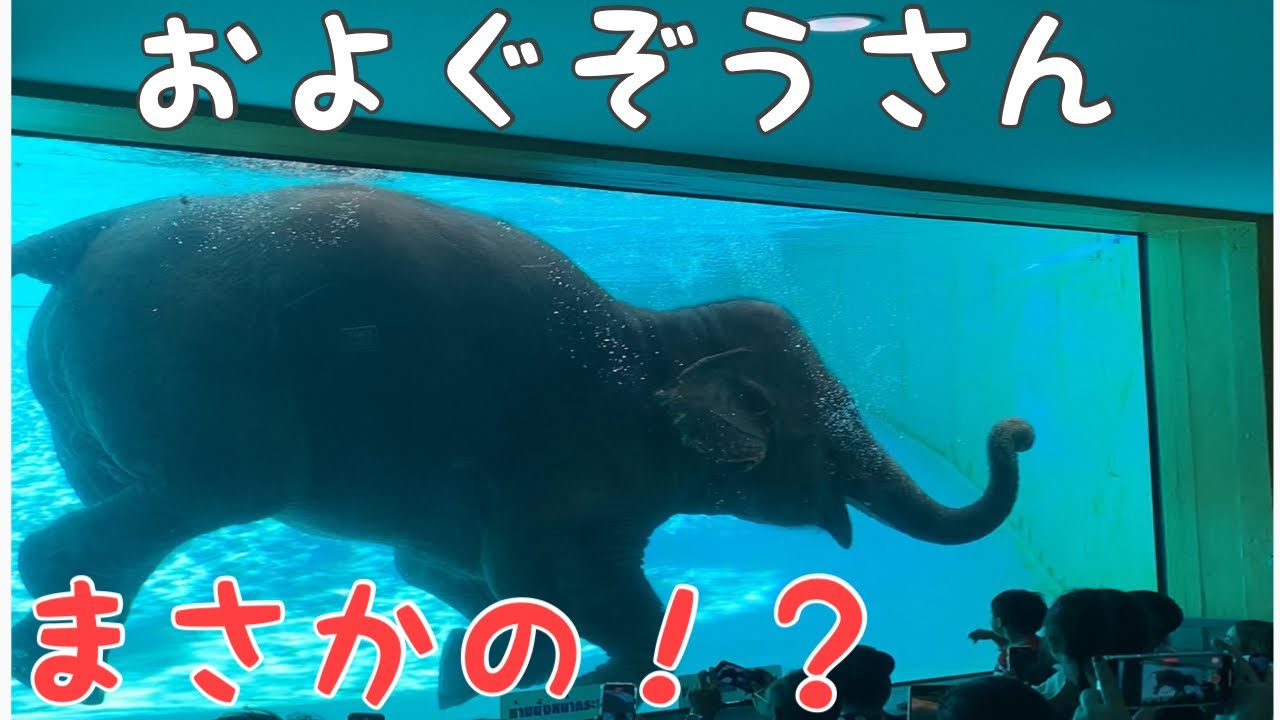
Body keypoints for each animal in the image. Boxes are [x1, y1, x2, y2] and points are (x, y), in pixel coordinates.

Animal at [10, 183, 1035, 708]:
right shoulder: (568, 458)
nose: (1016, 425)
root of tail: (79, 238)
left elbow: (446, 566)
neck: (663, 334)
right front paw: (596, 671)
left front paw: (484, 673)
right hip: (199, 367)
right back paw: (53, 656)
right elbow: (537, 571)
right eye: (830, 432)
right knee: (210, 495)